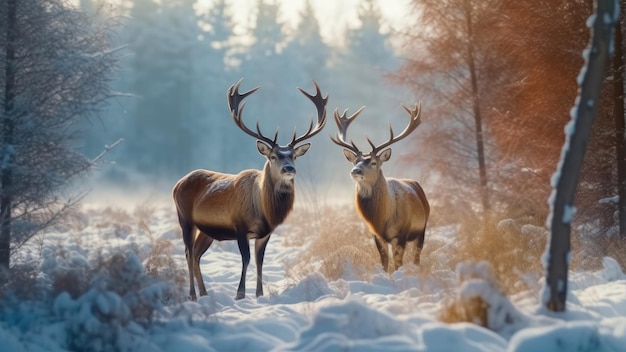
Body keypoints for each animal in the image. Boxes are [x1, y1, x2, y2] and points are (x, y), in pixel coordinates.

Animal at [171, 79, 326, 300]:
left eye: (294, 156)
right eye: (273, 156)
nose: (289, 169)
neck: (264, 210)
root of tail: (177, 184)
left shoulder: (265, 233)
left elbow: (260, 260)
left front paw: (259, 294)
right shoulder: (240, 225)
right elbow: (246, 259)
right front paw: (240, 295)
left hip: (207, 230)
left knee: (197, 255)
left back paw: (204, 293)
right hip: (184, 217)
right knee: (188, 252)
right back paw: (192, 295)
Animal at [326, 103, 428, 274]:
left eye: (373, 162)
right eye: (355, 162)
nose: (355, 171)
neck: (383, 219)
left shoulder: (402, 233)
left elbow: (398, 264)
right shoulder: (376, 235)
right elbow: (385, 263)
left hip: (422, 229)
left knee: (417, 258)